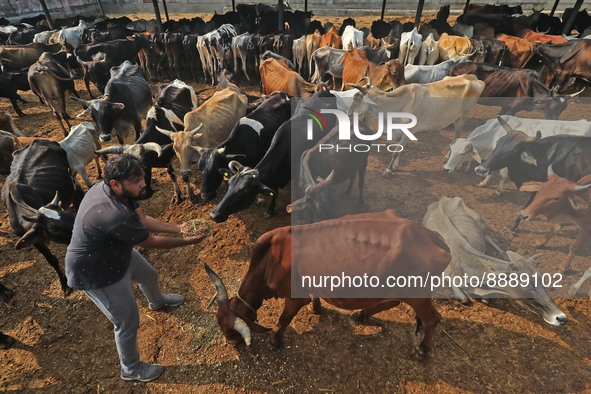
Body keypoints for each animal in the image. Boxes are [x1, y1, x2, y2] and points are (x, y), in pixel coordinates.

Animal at [1, 140, 82, 294]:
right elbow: (51, 259)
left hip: (71, 180)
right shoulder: (34, 239)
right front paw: (64, 284)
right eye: (55, 230)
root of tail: (35, 141)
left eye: (70, 217)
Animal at [206, 211, 450, 358]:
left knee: (432, 319)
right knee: (392, 302)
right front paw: (317, 307)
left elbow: (283, 319)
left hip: (417, 294)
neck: (269, 259)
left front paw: (275, 340)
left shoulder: (294, 297)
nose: (231, 342)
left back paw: (422, 349)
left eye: (230, 329)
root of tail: (432, 236)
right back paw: (362, 314)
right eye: (219, 322)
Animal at [210, 90, 338, 223]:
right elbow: (274, 192)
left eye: (244, 190)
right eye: (229, 184)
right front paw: (270, 209)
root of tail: (325, 91)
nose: (214, 214)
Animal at [444, 114, 591, 194]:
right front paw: (483, 182)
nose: (445, 168)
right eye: (451, 150)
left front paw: (498, 191)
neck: (493, 132)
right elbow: (489, 171)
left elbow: (502, 175)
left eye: (463, 153)